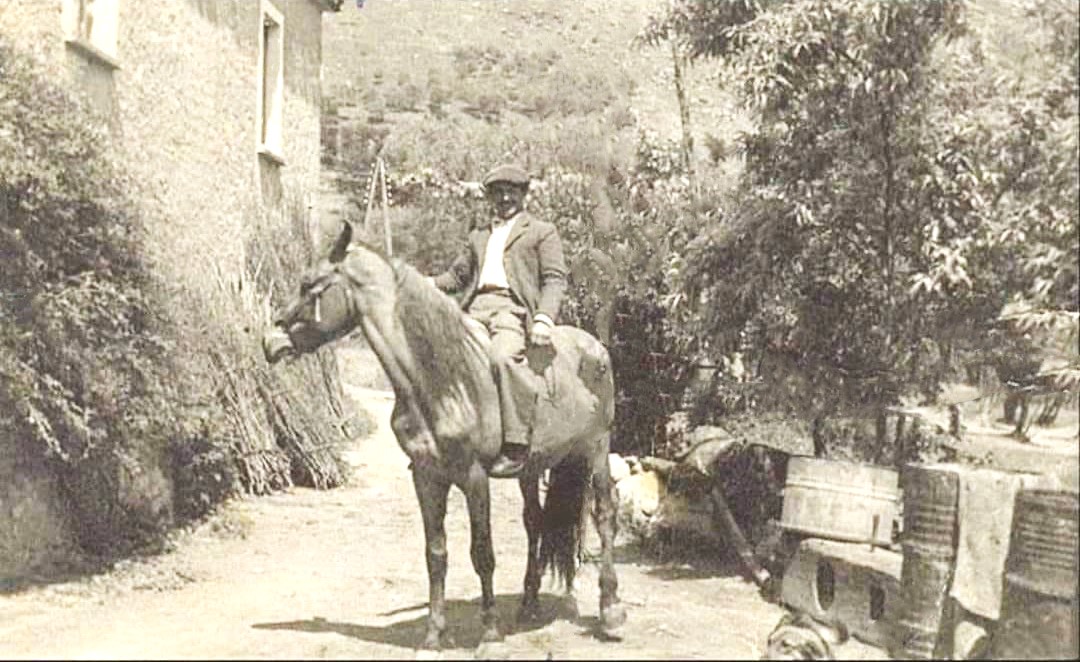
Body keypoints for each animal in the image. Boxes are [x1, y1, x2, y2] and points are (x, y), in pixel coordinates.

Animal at [262, 222, 626, 650]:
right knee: (533, 522)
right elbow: (435, 553)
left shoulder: (473, 477)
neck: (442, 381)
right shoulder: (426, 477)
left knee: (604, 518)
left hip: (596, 450)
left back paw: (610, 613)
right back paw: (529, 604)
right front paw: (434, 634)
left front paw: (490, 634)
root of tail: (594, 346)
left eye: (310, 285)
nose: (270, 341)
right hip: (533, 467)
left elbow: (482, 553)